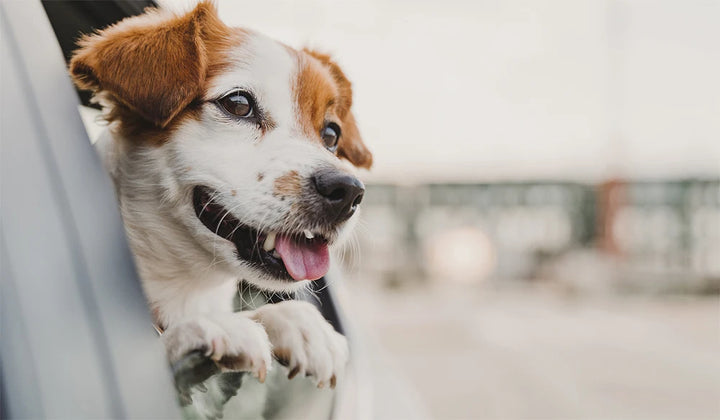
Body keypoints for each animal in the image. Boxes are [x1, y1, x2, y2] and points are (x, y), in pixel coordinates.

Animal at [69, 0, 372, 414]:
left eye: (331, 133)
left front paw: (299, 322)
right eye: (238, 104)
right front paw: (205, 328)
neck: (187, 286)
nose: (347, 191)